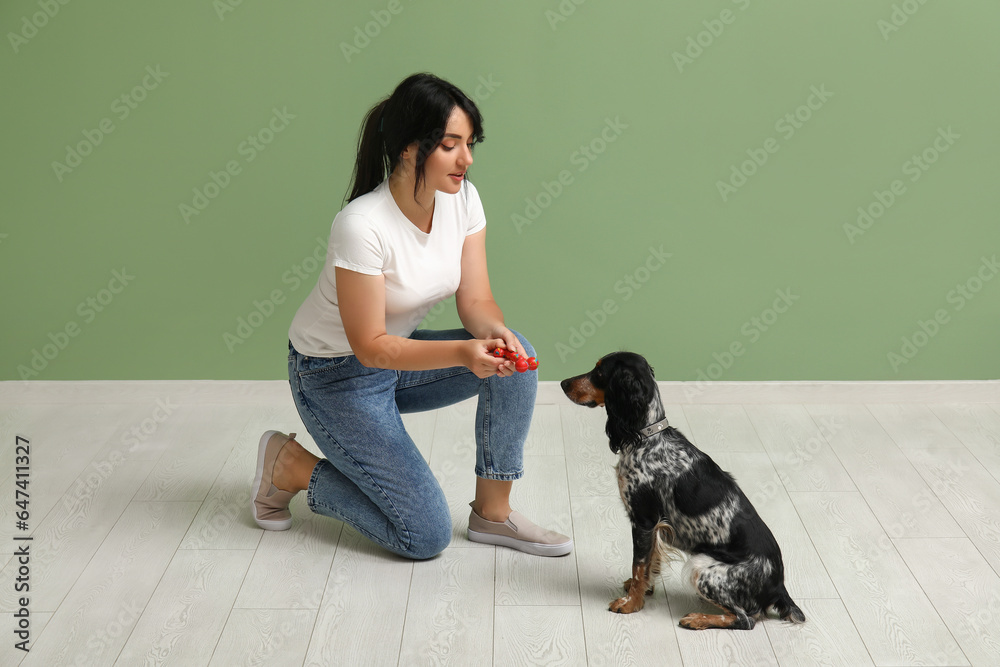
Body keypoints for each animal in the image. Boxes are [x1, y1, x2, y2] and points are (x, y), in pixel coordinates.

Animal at [564, 352, 804, 628]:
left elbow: (639, 564)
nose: (563, 383)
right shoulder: (656, 525)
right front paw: (643, 590)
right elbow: (649, 563)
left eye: (599, 372)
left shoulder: (644, 520)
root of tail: (779, 587)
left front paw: (631, 604)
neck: (646, 438)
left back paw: (696, 619)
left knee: (745, 619)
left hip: (702, 567)